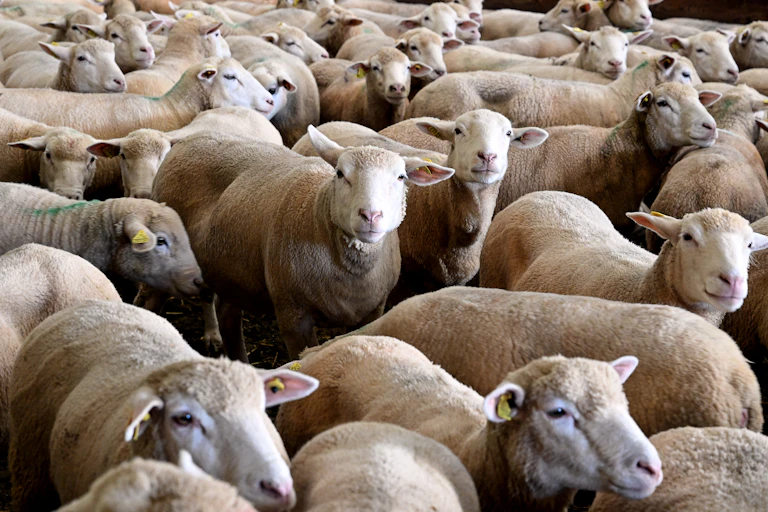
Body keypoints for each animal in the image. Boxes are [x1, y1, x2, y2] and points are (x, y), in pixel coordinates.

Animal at [150, 128, 454, 360]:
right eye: (340, 174)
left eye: (401, 177)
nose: (370, 215)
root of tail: (190, 137)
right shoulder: (293, 316)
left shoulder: (372, 311)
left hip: (232, 270)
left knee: (227, 314)